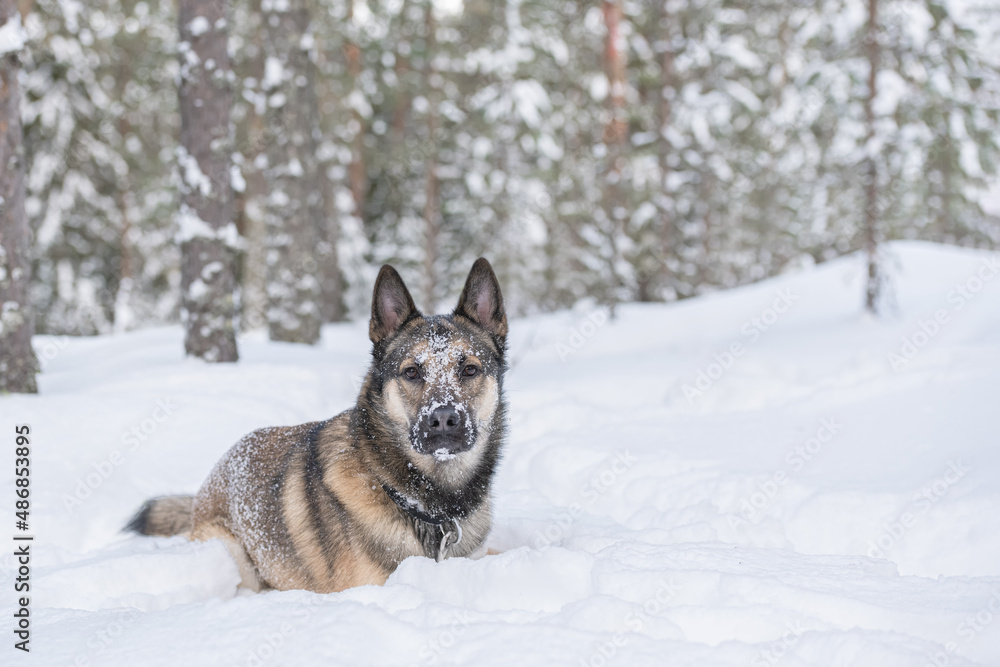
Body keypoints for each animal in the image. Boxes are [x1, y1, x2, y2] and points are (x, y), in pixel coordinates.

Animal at [127, 258, 508, 592]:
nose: (443, 420)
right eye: (412, 372)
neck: (430, 505)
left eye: (469, 369)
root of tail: (209, 481)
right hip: (233, 553)